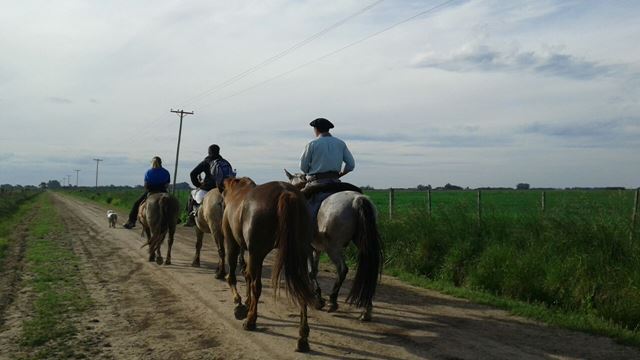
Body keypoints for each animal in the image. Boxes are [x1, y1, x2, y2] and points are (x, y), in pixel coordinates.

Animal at [222, 177, 318, 352]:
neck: (237, 193)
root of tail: (286, 192)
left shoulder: (233, 242)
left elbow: (233, 275)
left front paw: (239, 304)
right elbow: (246, 274)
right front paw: (246, 302)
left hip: (257, 253)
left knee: (256, 285)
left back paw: (251, 320)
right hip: (300, 252)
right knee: (303, 291)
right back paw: (303, 337)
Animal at [284, 170, 382, 322]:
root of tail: (357, 200)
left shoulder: (307, 247)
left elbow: (311, 272)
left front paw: (318, 300)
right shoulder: (316, 249)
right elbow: (315, 270)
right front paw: (317, 297)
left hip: (333, 248)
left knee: (342, 269)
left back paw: (333, 301)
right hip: (363, 244)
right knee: (368, 269)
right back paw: (366, 310)